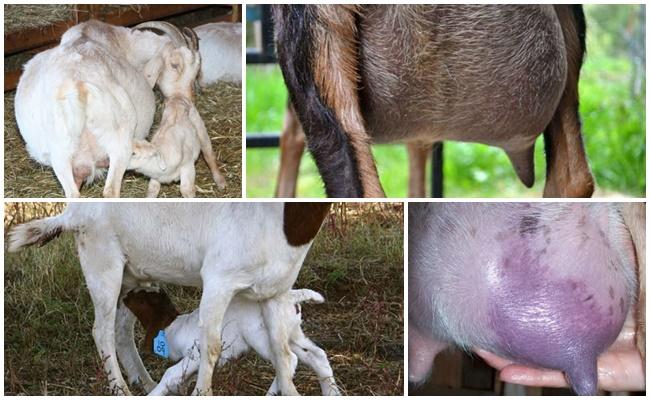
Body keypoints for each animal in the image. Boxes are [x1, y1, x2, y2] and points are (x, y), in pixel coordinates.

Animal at [15, 20, 195, 198]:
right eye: (174, 65)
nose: (186, 99)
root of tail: (79, 86)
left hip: (60, 154)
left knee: (74, 193)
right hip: (120, 144)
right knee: (110, 191)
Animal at [123, 288, 341, 395]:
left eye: (141, 299)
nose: (124, 296)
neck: (174, 325)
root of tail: (293, 297)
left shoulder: (195, 354)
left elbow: (170, 374)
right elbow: (181, 380)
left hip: (261, 335)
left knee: (289, 360)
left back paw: (271, 394)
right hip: (292, 333)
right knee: (317, 356)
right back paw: (333, 393)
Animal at [128, 31, 227, 197]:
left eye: (133, 153)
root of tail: (180, 99)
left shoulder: (188, 168)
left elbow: (186, 190)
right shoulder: (155, 178)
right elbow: (152, 190)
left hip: (200, 128)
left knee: (208, 153)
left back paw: (220, 181)